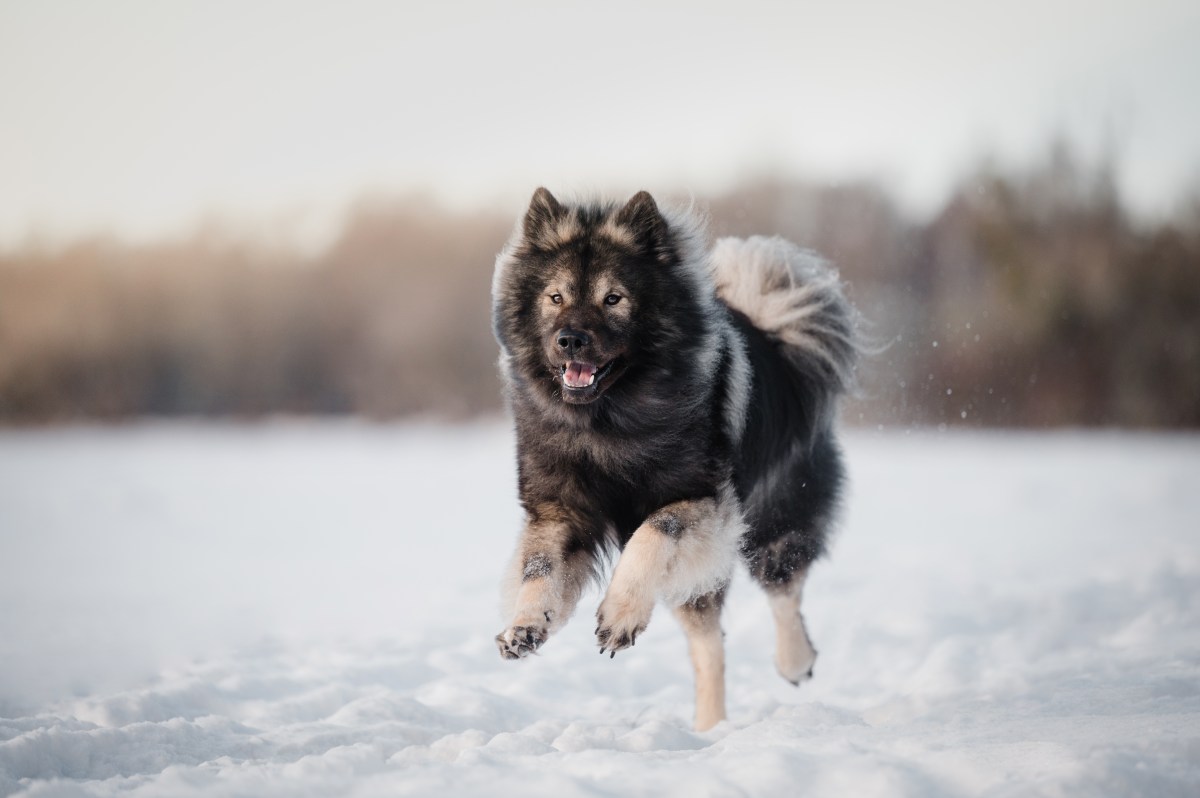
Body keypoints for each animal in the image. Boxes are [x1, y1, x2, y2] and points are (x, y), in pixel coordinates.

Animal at [492, 187, 859, 729]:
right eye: (555, 298)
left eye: (613, 299)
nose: (570, 340)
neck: (607, 424)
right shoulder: (561, 512)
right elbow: (538, 571)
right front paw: (526, 624)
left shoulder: (702, 502)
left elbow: (651, 537)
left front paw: (619, 615)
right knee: (710, 647)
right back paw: (711, 729)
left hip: (775, 521)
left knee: (783, 592)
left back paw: (794, 662)